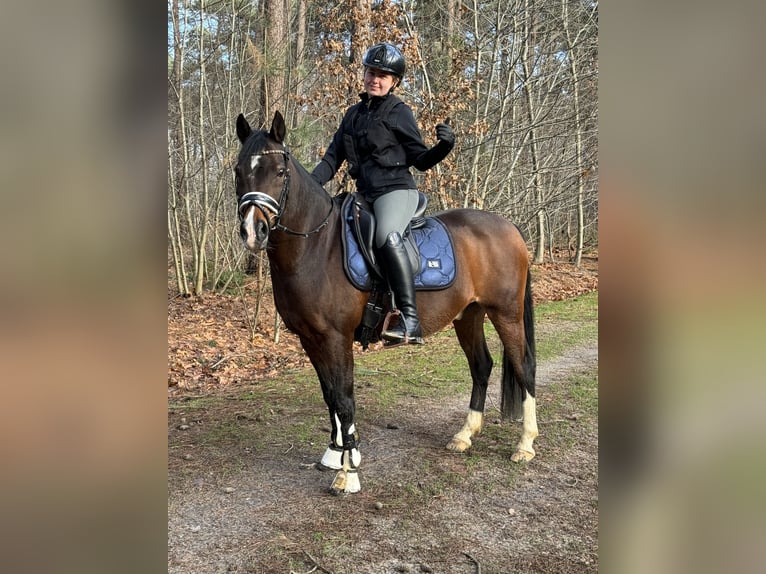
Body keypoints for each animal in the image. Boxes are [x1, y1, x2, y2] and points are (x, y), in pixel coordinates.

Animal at [234, 112, 540, 496]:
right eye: (238, 171)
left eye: (278, 171)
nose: (253, 231)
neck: (316, 247)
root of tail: (508, 226)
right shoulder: (311, 338)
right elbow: (330, 395)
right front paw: (337, 453)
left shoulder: (335, 338)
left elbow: (345, 399)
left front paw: (347, 473)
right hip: (468, 314)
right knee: (481, 366)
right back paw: (464, 435)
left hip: (506, 313)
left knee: (524, 366)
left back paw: (525, 444)